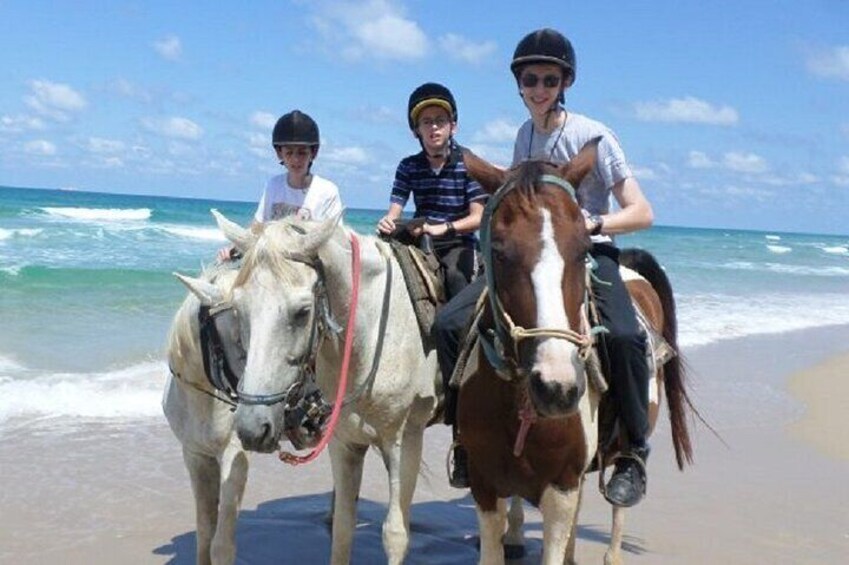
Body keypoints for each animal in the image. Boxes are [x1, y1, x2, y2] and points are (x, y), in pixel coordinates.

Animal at [181, 213, 444, 564]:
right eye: (238, 309)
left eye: (302, 311)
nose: (252, 427)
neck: (375, 333)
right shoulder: (344, 442)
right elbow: (343, 528)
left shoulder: (406, 440)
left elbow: (395, 533)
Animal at [460, 142, 692, 564]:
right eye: (498, 251)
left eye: (583, 248)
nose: (557, 388)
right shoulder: (485, 483)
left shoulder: (561, 486)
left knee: (619, 504)